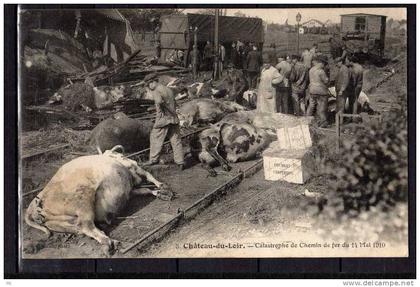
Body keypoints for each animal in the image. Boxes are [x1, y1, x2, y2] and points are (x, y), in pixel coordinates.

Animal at [25, 146, 174, 256]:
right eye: (119, 154)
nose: (128, 159)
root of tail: (37, 200)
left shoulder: (130, 190)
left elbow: (146, 190)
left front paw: (162, 193)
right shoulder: (134, 171)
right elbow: (148, 175)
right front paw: (162, 187)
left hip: (60, 223)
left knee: (82, 229)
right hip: (83, 199)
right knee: (86, 225)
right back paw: (108, 243)